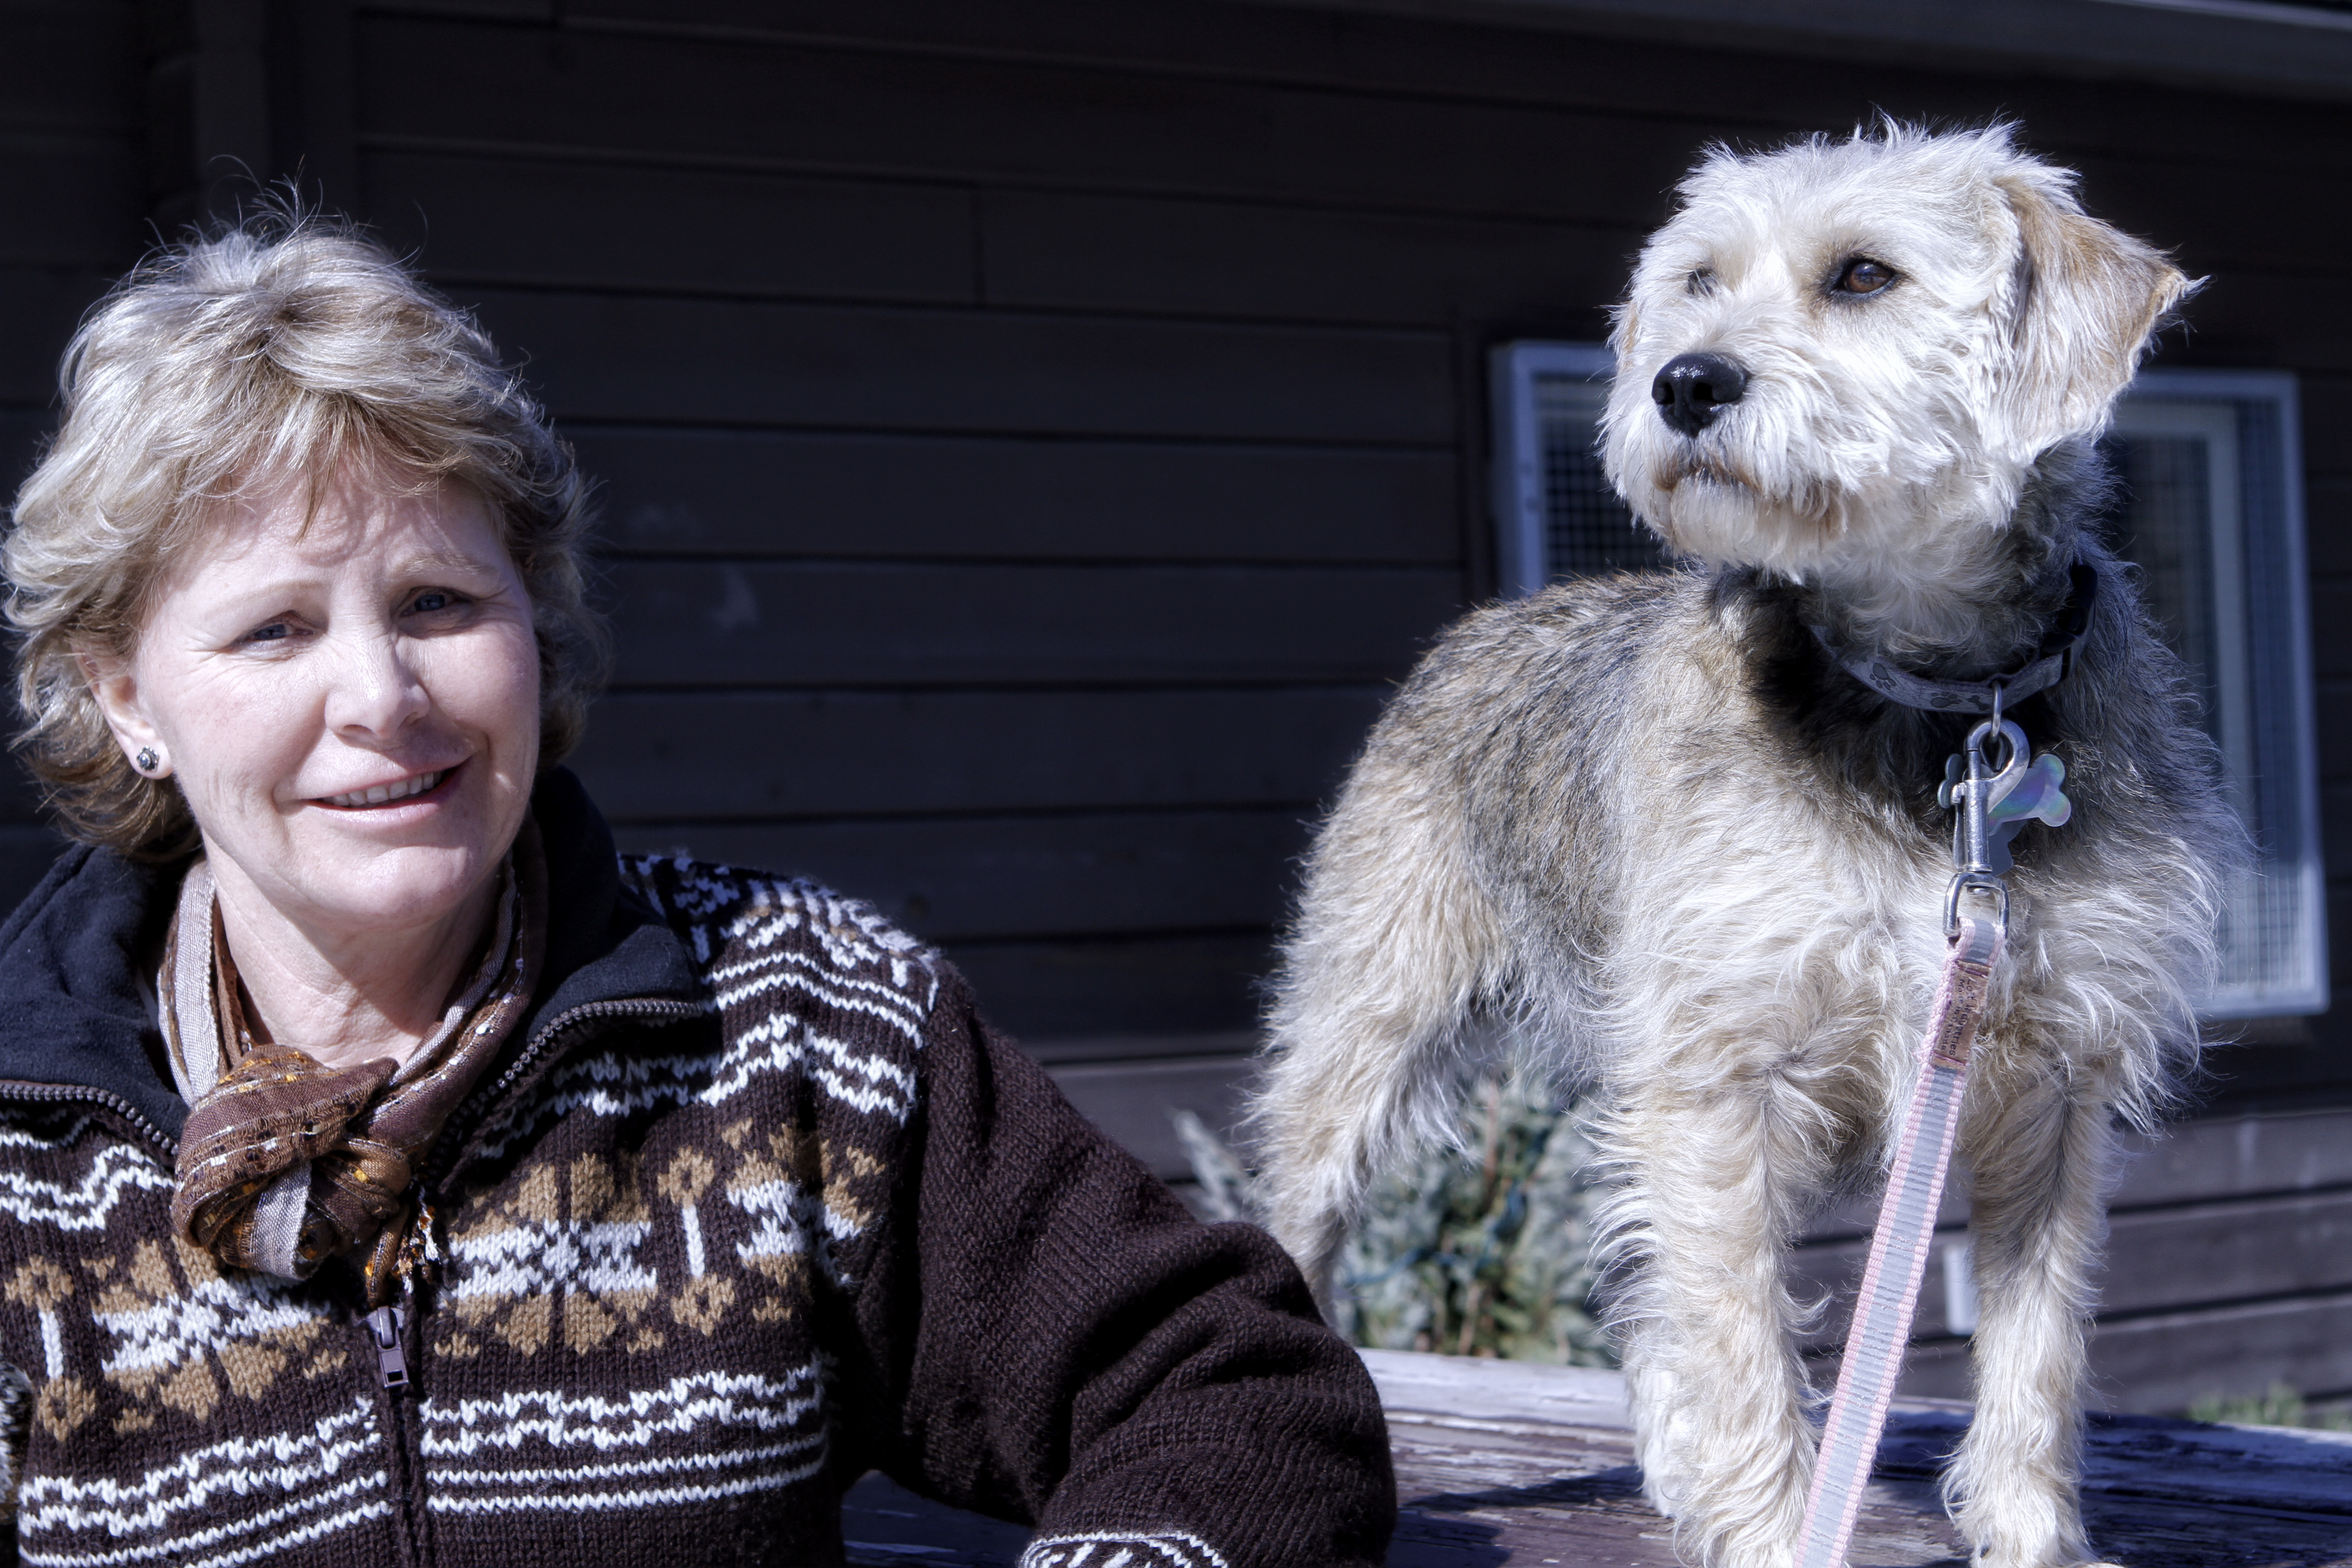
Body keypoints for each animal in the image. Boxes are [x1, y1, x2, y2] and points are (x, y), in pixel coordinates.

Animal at [1247, 124, 2244, 1568]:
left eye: (1863, 275)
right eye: (1698, 283)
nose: (1684, 381)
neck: (1938, 712)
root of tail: (1487, 618)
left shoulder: (2046, 1085)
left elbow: (2033, 1356)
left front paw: (2027, 1537)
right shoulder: (1723, 1073)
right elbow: (1738, 1339)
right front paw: (1778, 1533)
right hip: (1364, 1030)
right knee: (1314, 1214)